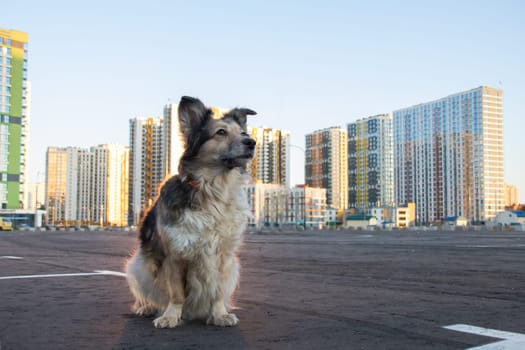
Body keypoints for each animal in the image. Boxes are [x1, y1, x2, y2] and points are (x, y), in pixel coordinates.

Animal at [128, 95, 256, 328]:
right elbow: (176, 293)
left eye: (243, 133)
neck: (214, 190)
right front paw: (170, 316)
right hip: (137, 266)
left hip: (235, 267)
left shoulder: (224, 256)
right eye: (221, 132)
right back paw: (147, 307)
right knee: (146, 294)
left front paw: (219, 314)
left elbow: (217, 291)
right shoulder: (175, 255)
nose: (252, 142)